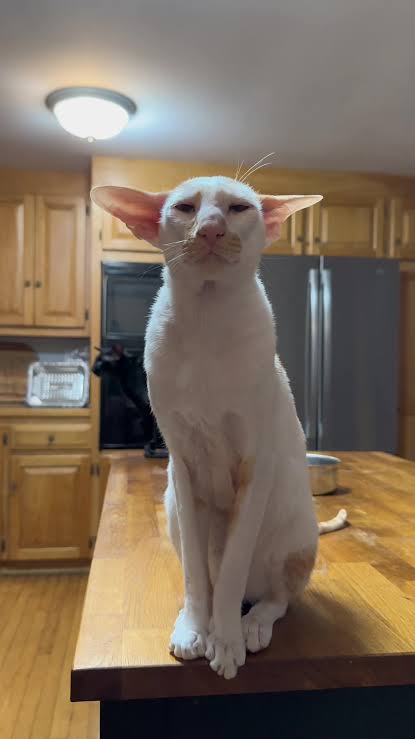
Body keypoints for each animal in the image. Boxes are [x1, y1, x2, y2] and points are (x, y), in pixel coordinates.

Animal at [91, 175, 347, 680]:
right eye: (185, 208)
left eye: (238, 208)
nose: (210, 229)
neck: (208, 320)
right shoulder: (183, 465)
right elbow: (198, 573)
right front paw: (196, 629)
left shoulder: (255, 463)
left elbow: (230, 570)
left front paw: (226, 642)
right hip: (172, 504)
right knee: (204, 570)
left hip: (294, 530)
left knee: (277, 596)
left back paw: (252, 625)